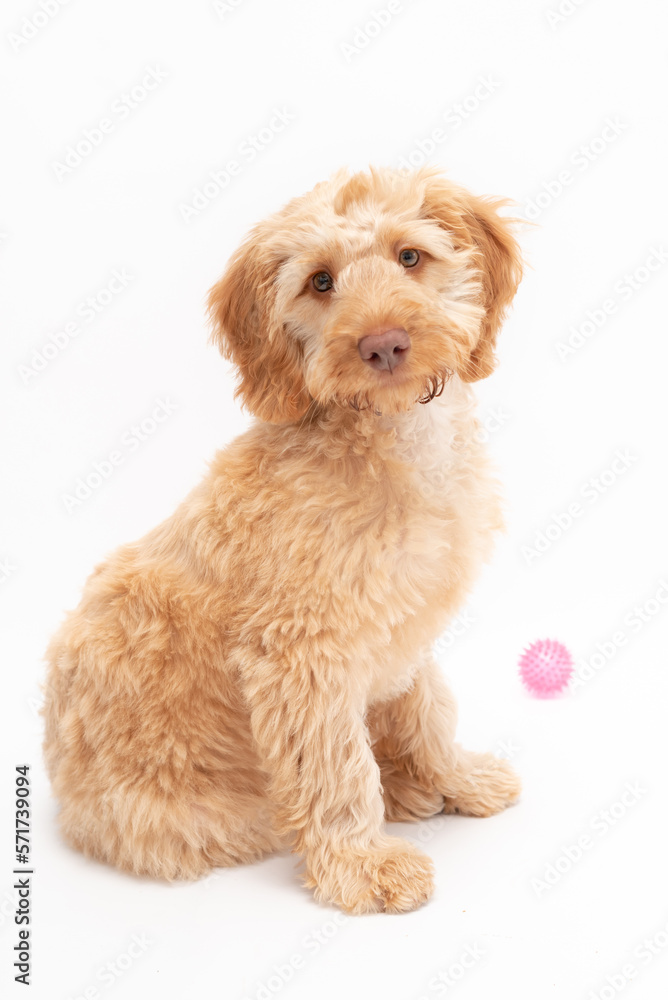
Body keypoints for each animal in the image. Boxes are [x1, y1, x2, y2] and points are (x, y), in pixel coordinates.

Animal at [44, 166, 528, 916]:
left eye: (410, 257)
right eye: (320, 282)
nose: (384, 344)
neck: (392, 441)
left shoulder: (408, 628)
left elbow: (427, 708)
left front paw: (455, 778)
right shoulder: (301, 654)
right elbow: (336, 766)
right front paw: (362, 863)